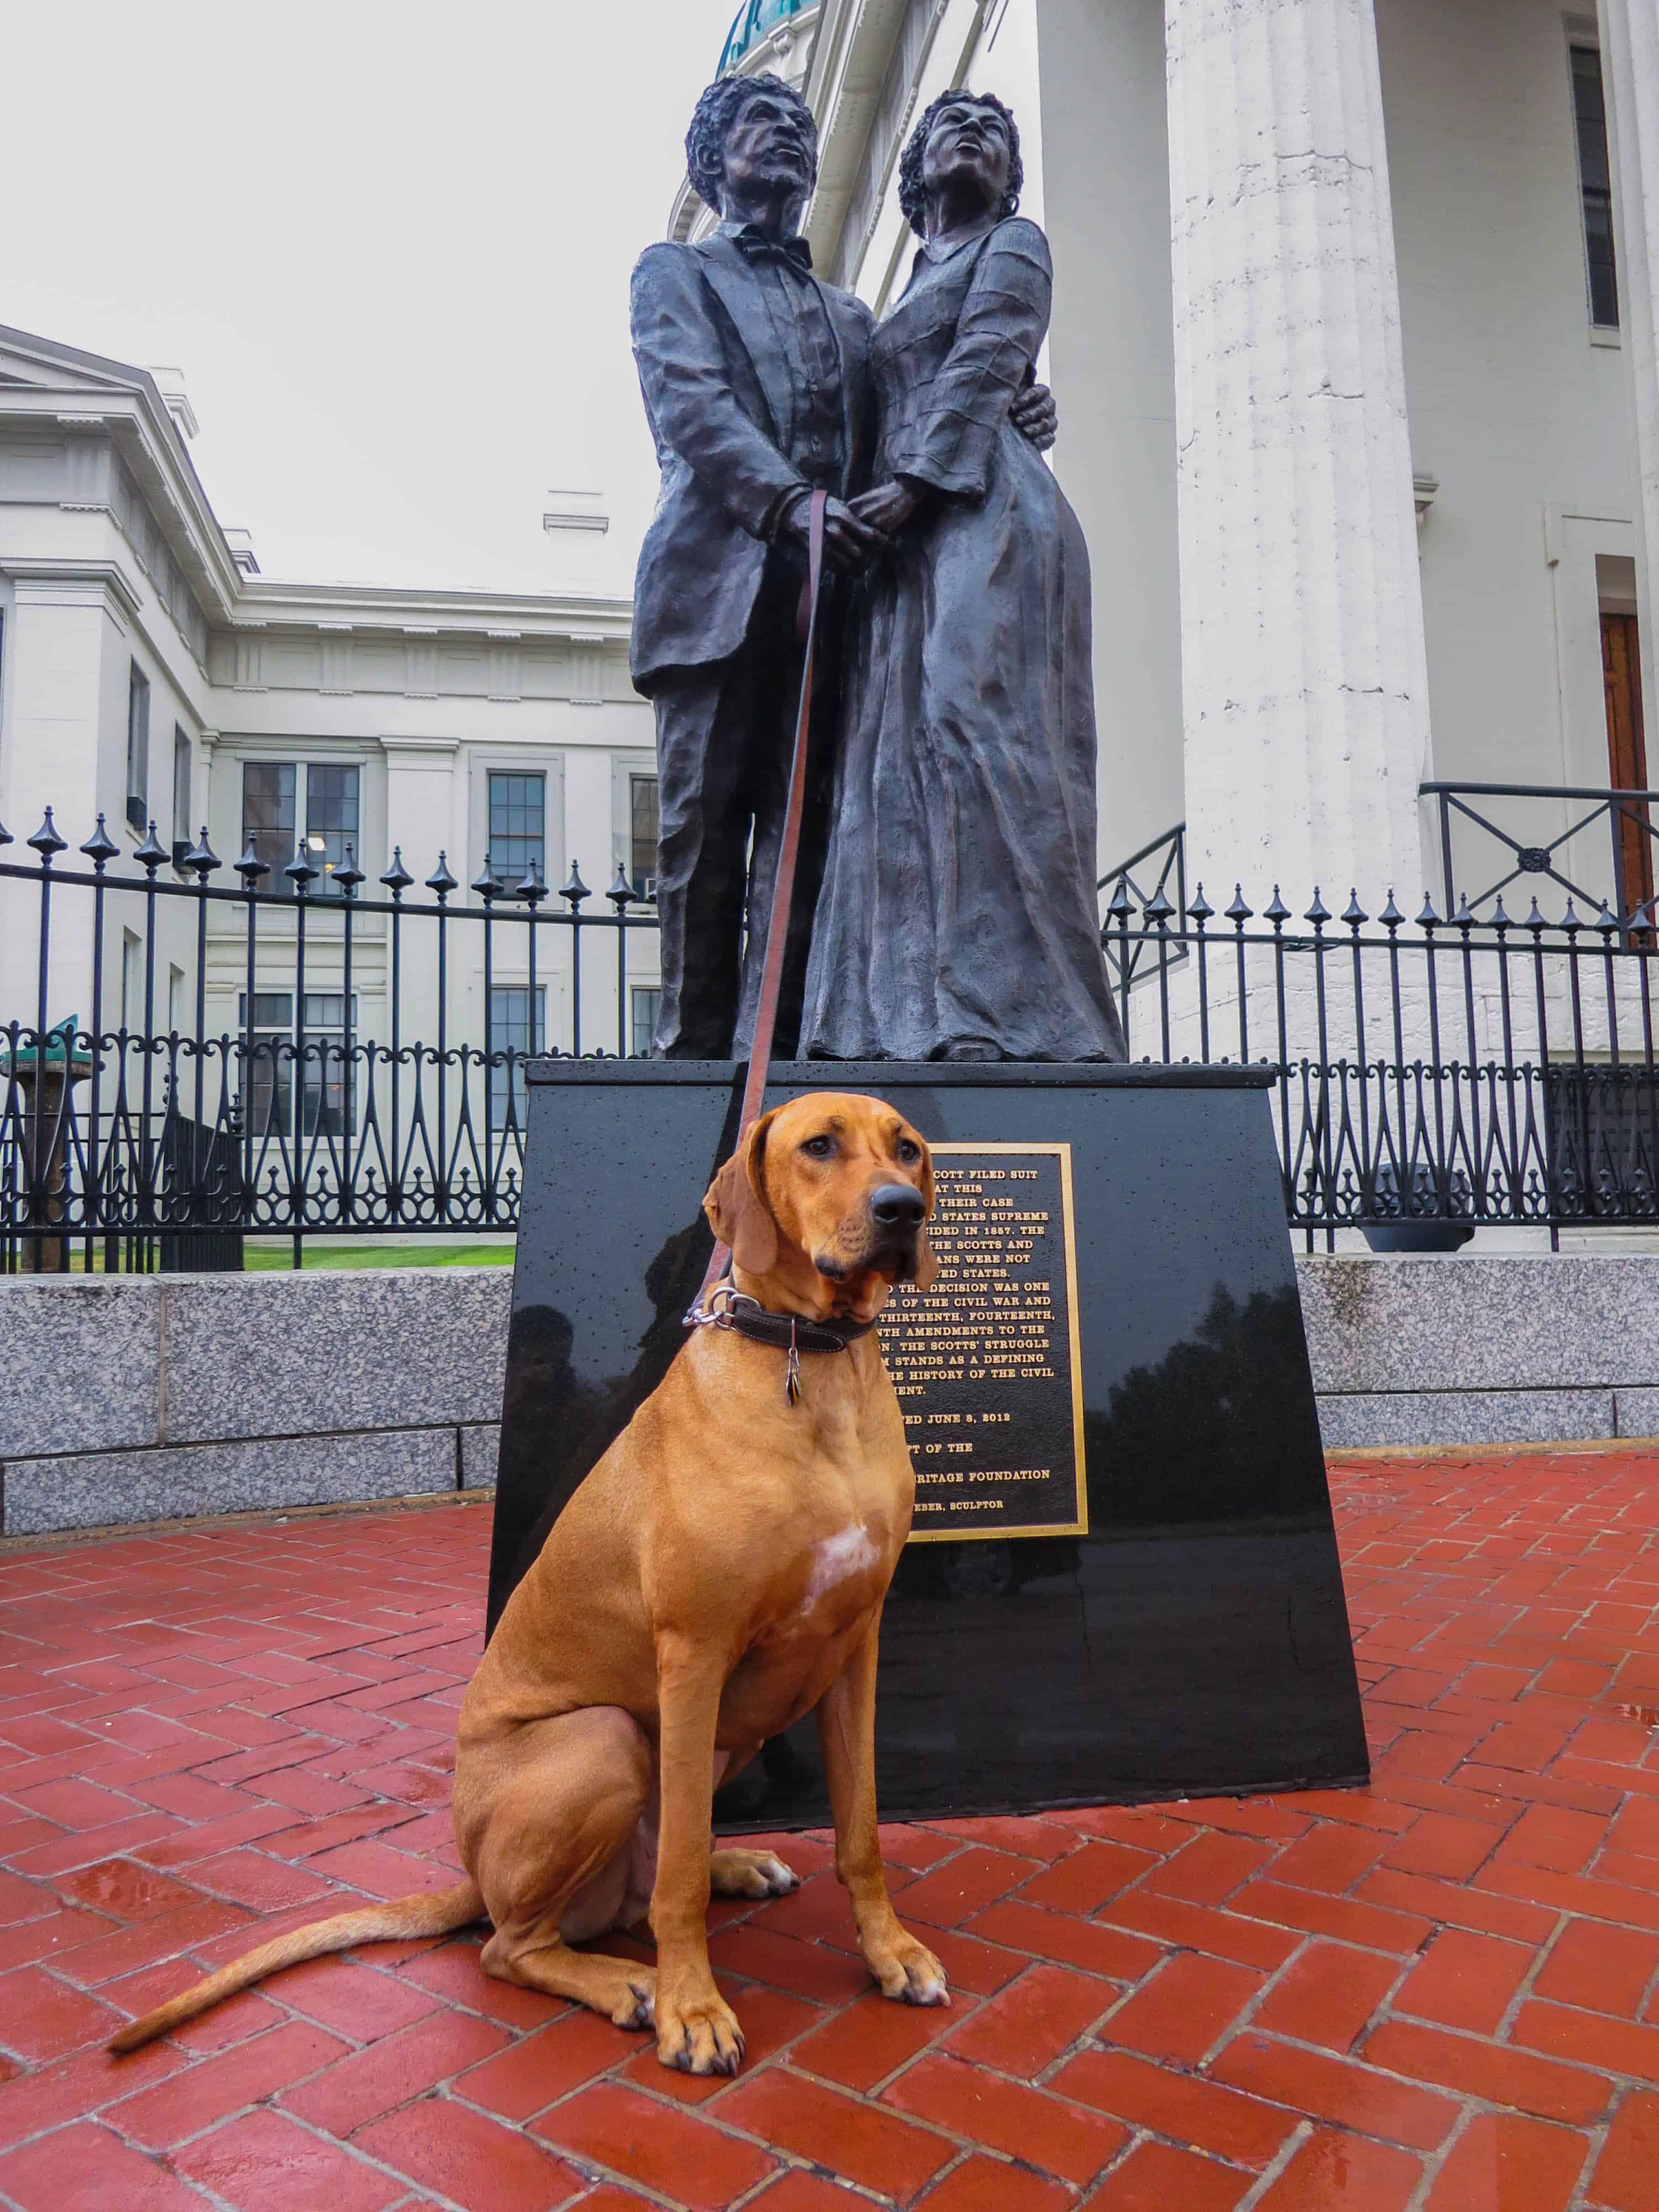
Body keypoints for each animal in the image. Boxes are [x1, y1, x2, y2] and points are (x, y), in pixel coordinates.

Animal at [111, 1088, 947, 2070]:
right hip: (606, 1740)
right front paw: (694, 2007)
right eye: (819, 1146)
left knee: (645, 1880)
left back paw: (735, 1866)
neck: (809, 1364)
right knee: (519, 1944)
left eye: (908, 1149)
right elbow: (678, 1882)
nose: (903, 1209)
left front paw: (889, 1954)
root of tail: (475, 1878)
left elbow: (860, 1831)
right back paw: (632, 1983)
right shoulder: (694, 1654)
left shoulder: (854, 1646)